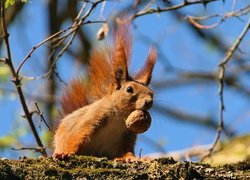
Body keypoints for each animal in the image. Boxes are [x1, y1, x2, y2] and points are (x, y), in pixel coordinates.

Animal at [53, 21, 156, 162]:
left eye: (152, 93)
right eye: (129, 89)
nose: (149, 102)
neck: (120, 117)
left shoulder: (128, 135)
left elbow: (126, 150)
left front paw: (130, 158)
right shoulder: (93, 117)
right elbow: (77, 135)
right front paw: (66, 152)